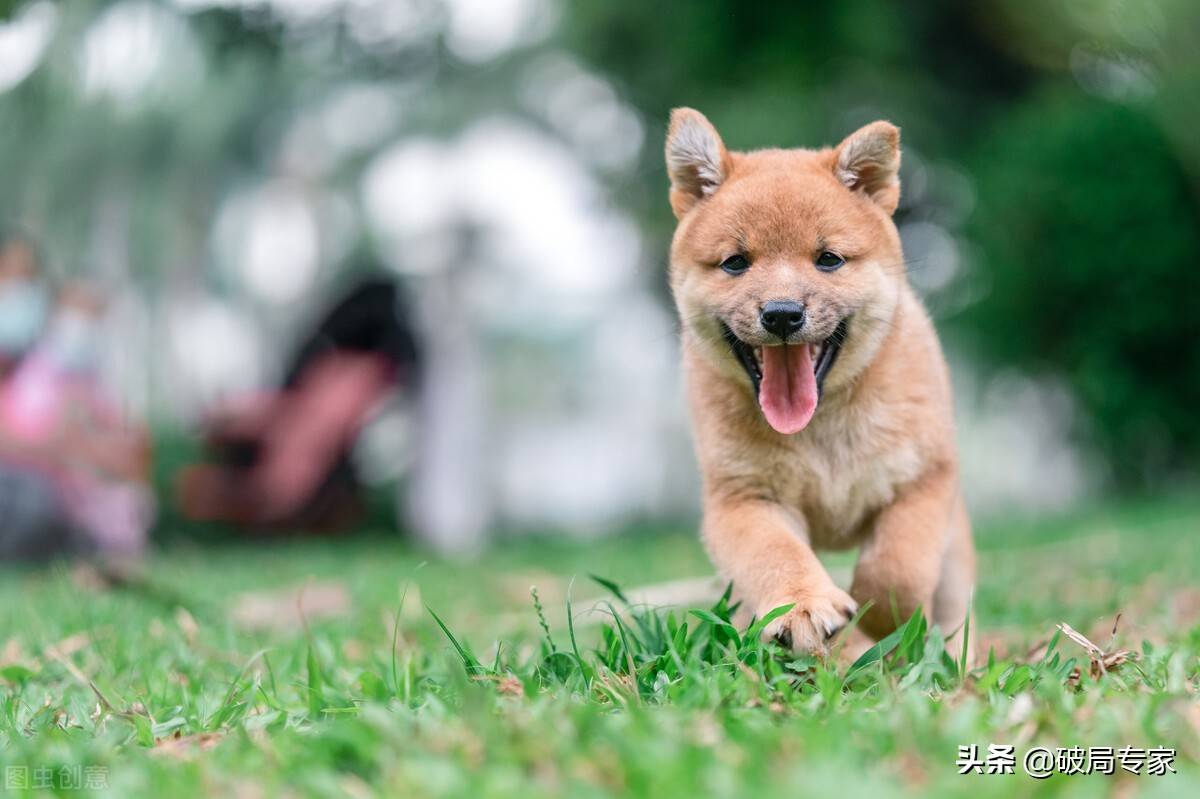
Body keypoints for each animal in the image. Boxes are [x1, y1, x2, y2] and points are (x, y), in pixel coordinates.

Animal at [667, 107, 974, 652]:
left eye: (828, 259)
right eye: (735, 262)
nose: (782, 314)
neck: (821, 430)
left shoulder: (922, 482)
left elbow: (897, 569)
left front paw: (880, 618)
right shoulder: (745, 500)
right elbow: (776, 555)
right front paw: (805, 606)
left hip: (955, 557)